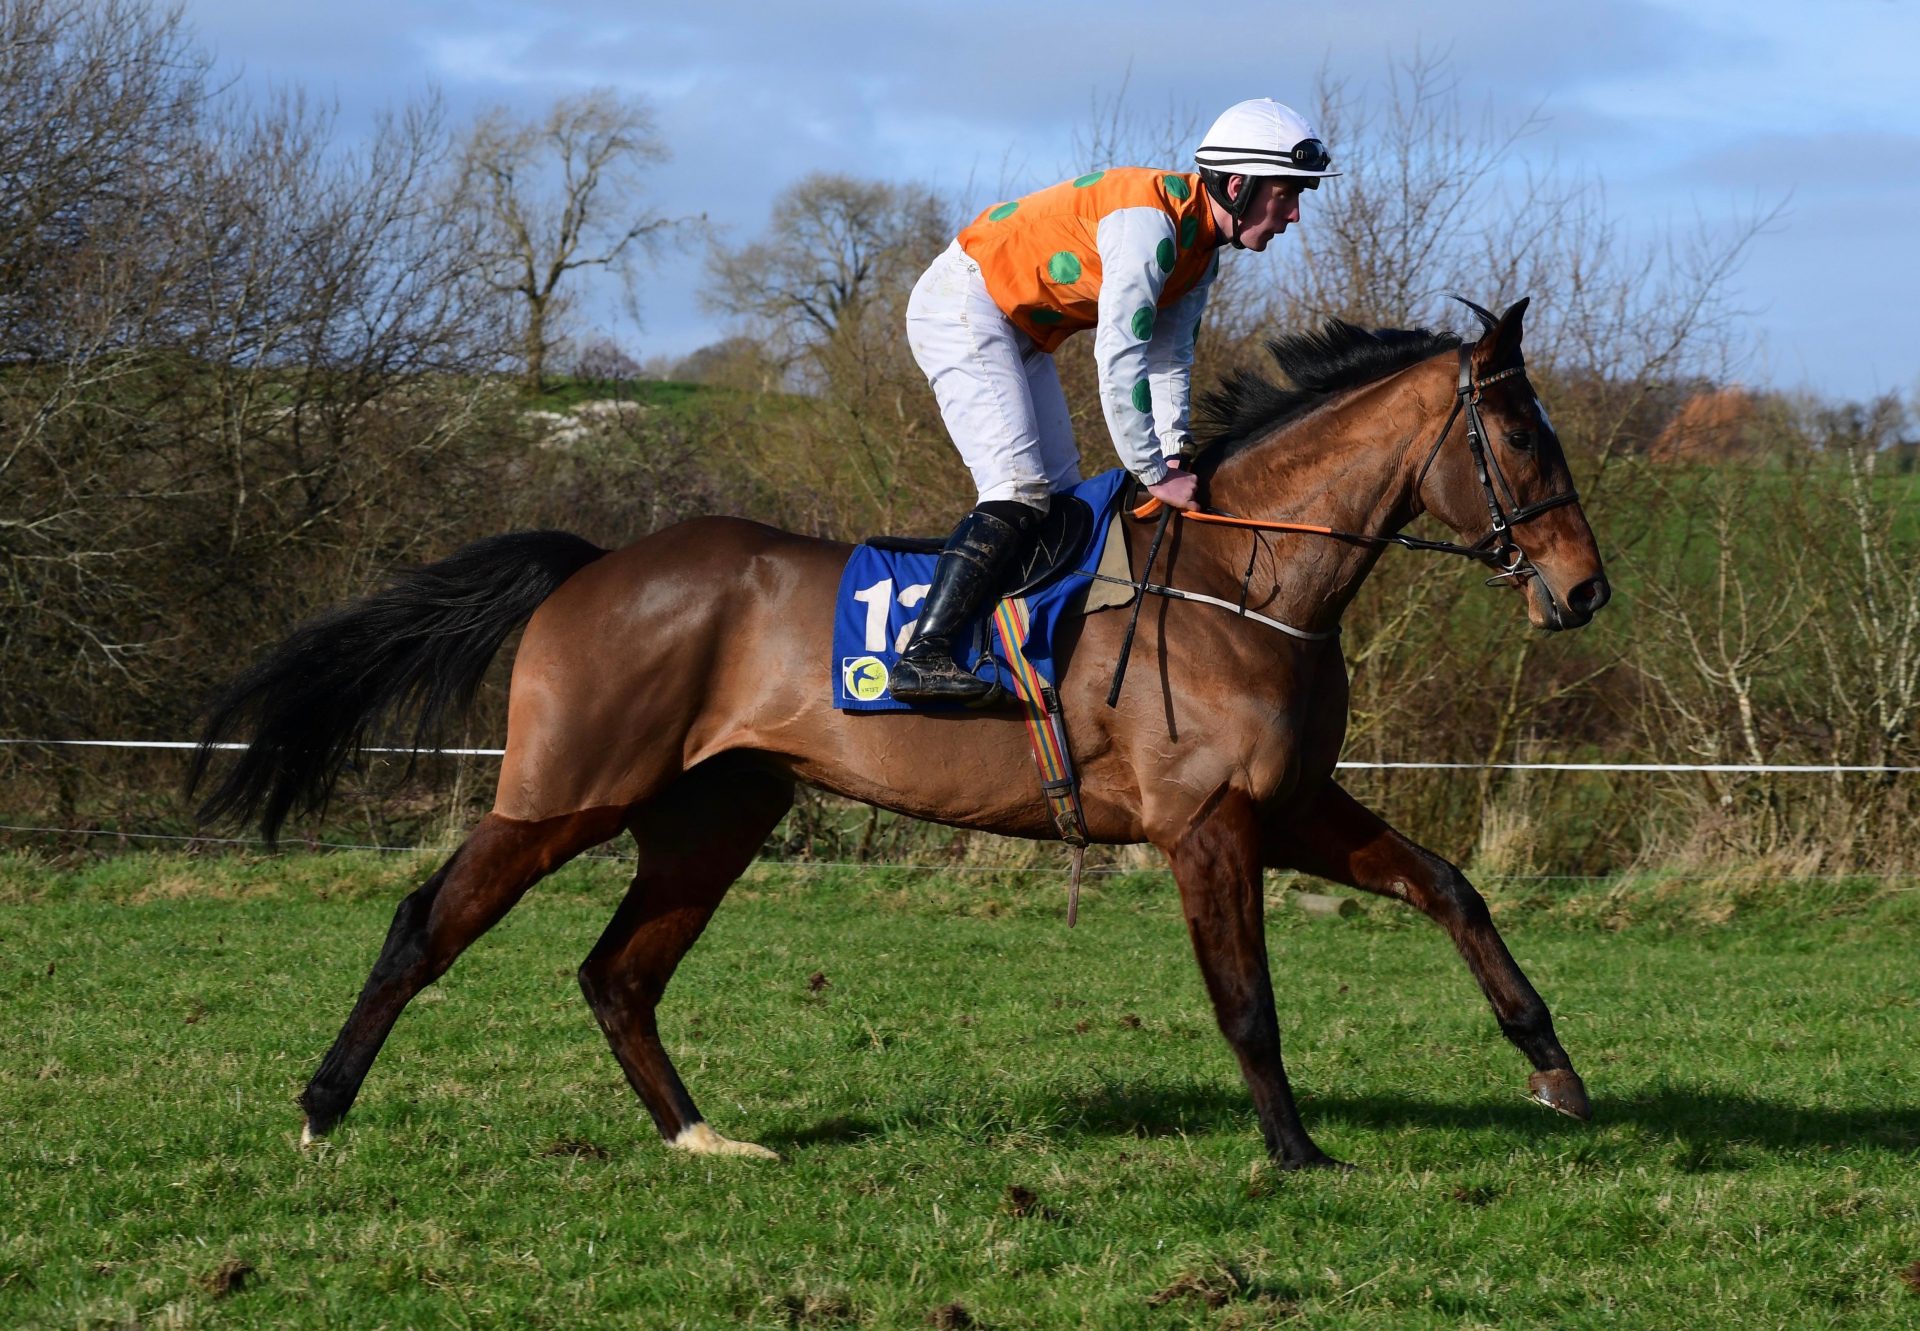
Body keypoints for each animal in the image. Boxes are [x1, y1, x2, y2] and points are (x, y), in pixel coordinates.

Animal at [194, 295, 1605, 1167]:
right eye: (1519, 432)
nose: (1584, 587)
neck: (1241, 577)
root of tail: (596, 564)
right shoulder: (1208, 826)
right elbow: (1247, 1001)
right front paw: (1297, 1146)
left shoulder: (1296, 804)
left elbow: (1453, 887)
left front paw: (1554, 1069)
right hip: (566, 789)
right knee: (427, 923)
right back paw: (320, 1109)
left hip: (715, 813)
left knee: (618, 973)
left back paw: (702, 1136)